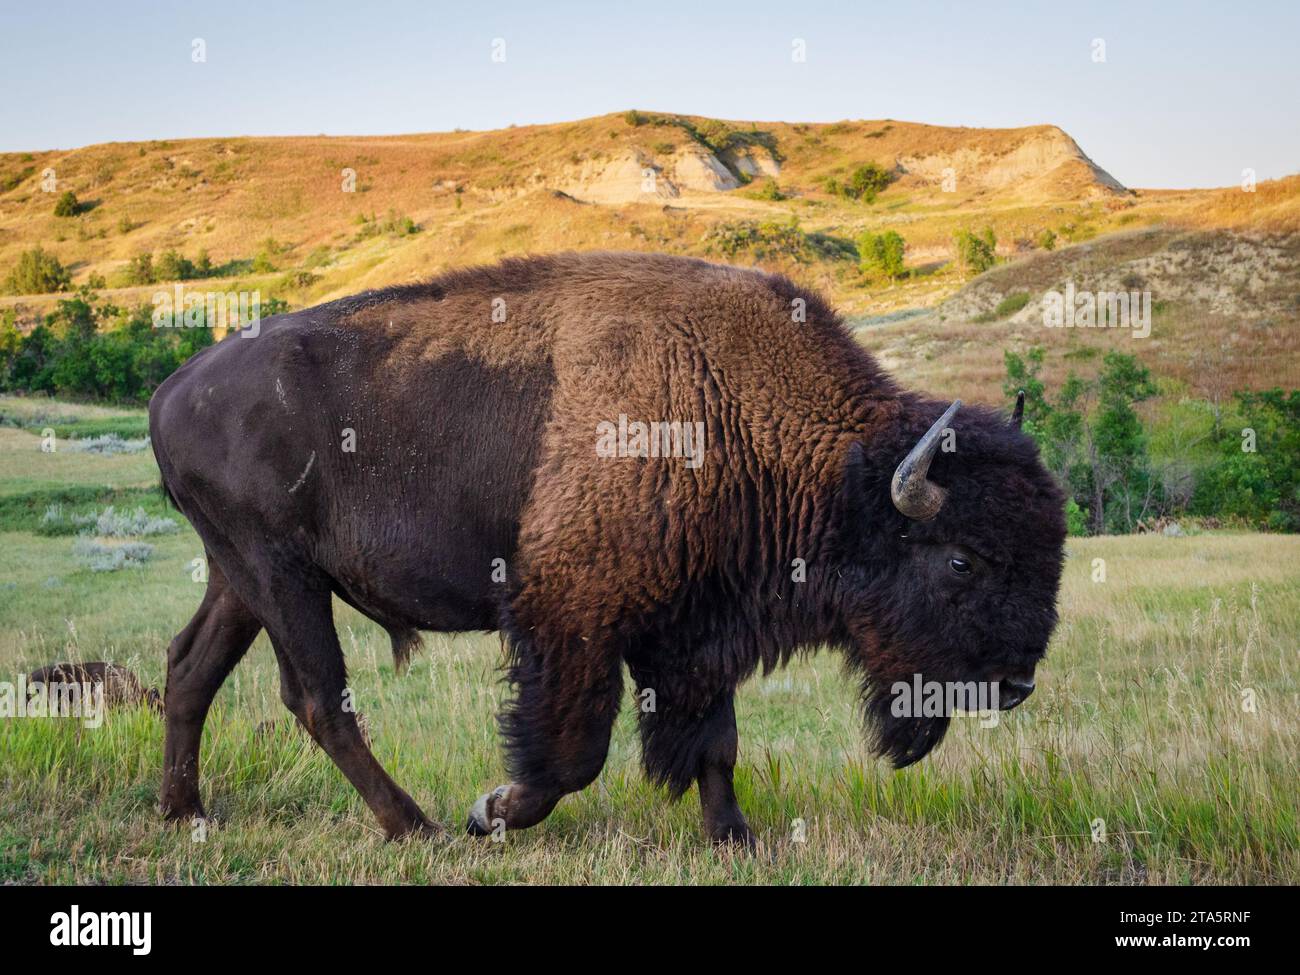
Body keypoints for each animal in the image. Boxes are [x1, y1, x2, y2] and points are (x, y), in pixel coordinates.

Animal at [149, 252, 1066, 847]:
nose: (1017, 684)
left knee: (191, 668)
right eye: (960, 560)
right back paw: (417, 825)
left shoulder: (695, 627)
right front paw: (491, 810)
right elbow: (573, 752)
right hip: (281, 573)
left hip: (241, 577)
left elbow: (714, 739)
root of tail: (171, 388)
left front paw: (736, 837)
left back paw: (186, 812)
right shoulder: (573, 616)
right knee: (317, 696)